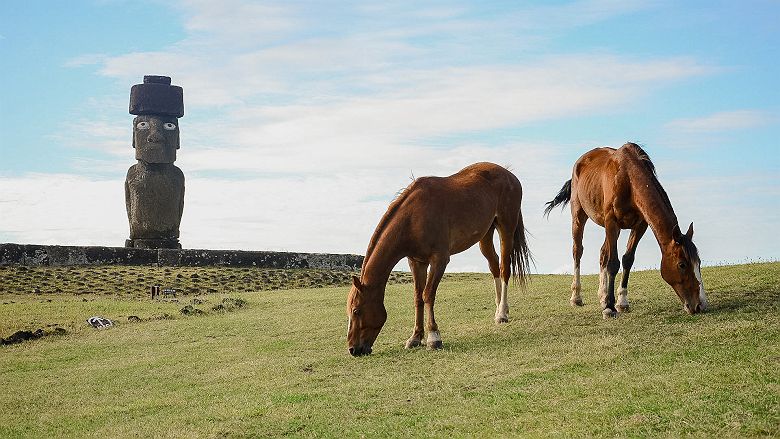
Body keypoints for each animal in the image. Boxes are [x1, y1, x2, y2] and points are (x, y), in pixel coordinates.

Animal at [346, 163, 532, 356]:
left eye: (356, 310)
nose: (353, 349)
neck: (413, 217)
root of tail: (509, 174)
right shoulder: (417, 262)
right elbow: (418, 297)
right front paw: (415, 337)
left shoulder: (439, 260)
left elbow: (428, 294)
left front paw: (433, 337)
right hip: (485, 234)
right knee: (494, 266)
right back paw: (499, 310)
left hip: (506, 227)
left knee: (504, 269)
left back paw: (502, 313)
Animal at [548, 144, 708, 320]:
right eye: (682, 265)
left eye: (699, 262)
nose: (700, 305)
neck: (629, 180)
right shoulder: (611, 222)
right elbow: (613, 263)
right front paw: (609, 308)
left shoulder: (640, 226)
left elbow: (627, 260)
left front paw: (621, 301)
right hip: (579, 216)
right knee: (578, 251)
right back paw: (577, 297)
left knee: (603, 253)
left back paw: (603, 296)